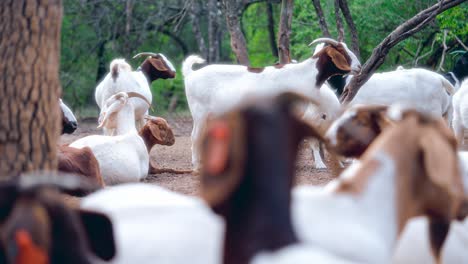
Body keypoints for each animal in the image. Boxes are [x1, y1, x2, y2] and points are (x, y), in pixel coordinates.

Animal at [181, 37, 360, 171]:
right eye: (342, 52)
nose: (358, 67)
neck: (303, 74)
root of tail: (191, 74)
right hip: (200, 113)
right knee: (195, 136)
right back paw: (196, 166)